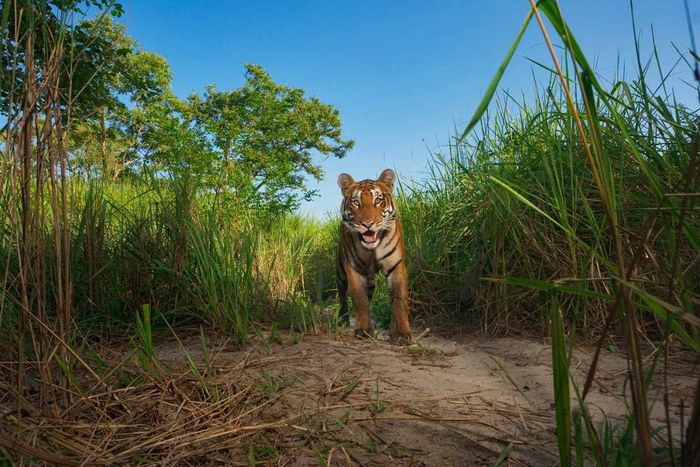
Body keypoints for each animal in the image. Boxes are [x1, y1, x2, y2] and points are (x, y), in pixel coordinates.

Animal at [334, 168, 410, 344]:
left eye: (378, 200)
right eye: (356, 202)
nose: (367, 224)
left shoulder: (395, 265)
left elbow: (399, 298)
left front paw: (401, 332)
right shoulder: (353, 267)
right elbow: (359, 299)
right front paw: (363, 329)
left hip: (370, 279)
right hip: (341, 271)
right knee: (342, 295)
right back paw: (343, 320)